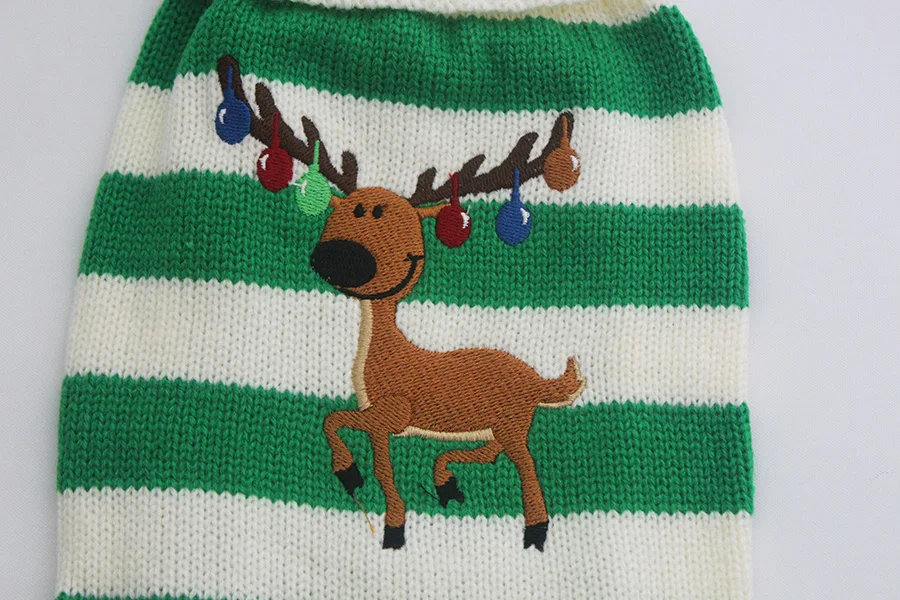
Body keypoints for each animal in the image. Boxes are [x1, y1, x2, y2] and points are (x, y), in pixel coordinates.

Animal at [217, 56, 587, 552]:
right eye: (340, 212)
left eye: (394, 222)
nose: (338, 258)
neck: (383, 350)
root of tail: (534, 378)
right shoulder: (382, 422)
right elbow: (350, 435)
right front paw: (360, 483)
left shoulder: (393, 414)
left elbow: (351, 432)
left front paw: (382, 510)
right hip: (502, 425)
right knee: (490, 454)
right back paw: (446, 479)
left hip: (511, 424)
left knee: (527, 469)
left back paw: (535, 529)